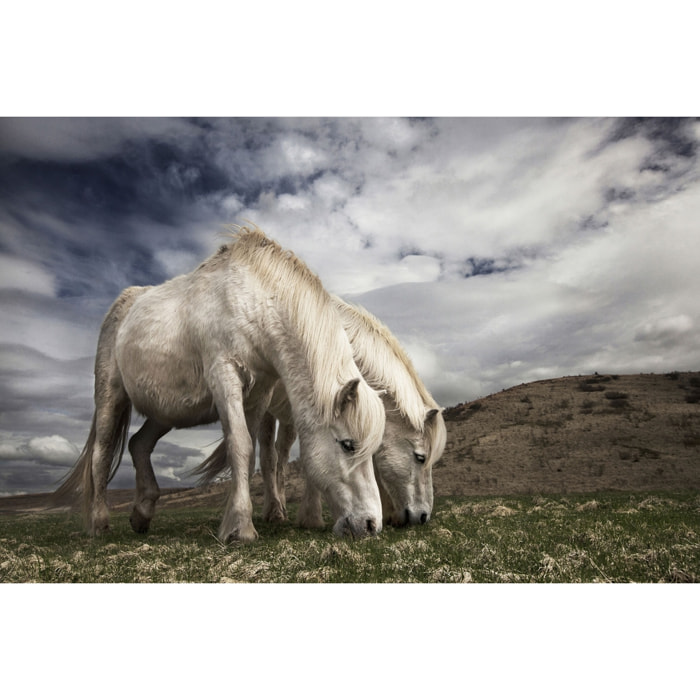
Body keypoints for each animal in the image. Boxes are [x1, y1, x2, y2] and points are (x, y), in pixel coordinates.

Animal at [52, 228, 386, 540]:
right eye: (348, 445)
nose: (371, 524)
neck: (253, 303)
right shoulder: (225, 377)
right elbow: (239, 445)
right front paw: (241, 528)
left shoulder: (259, 395)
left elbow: (249, 455)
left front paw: (237, 519)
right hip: (110, 397)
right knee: (102, 453)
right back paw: (99, 523)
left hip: (165, 414)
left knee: (139, 444)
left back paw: (142, 514)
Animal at [194, 296, 446, 532]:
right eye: (420, 457)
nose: (423, 516)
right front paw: (311, 517)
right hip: (266, 410)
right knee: (268, 456)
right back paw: (273, 510)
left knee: (281, 455)